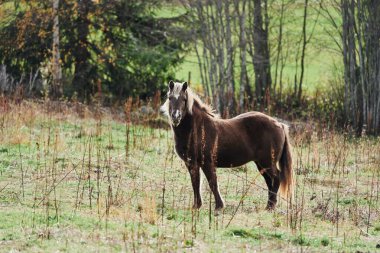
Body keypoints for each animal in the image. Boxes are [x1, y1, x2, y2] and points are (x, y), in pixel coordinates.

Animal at [161, 80, 294, 212]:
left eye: (184, 99)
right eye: (170, 97)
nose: (175, 117)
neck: (197, 129)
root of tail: (280, 124)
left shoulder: (207, 162)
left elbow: (212, 183)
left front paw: (219, 207)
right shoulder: (191, 163)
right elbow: (195, 183)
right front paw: (196, 206)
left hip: (267, 162)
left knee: (276, 179)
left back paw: (271, 207)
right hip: (261, 164)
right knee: (269, 181)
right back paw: (268, 206)